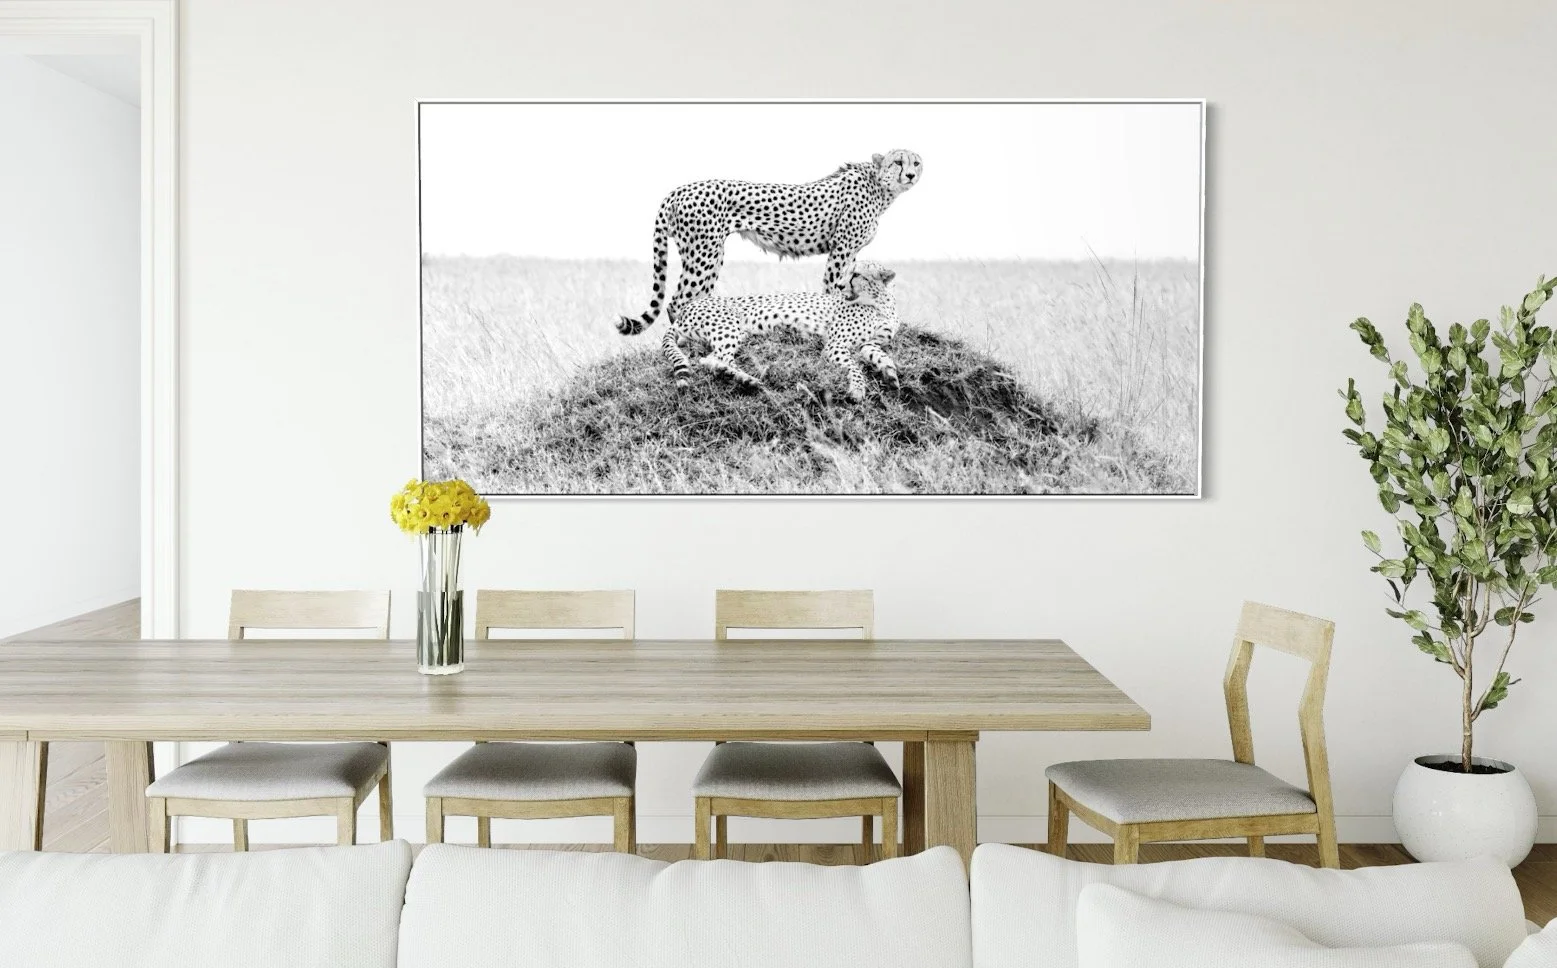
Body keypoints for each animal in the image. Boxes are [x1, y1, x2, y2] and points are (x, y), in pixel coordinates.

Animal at [614, 149, 922, 337]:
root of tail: (679, 189)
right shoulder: (842, 248)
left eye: (916, 162)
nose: (910, 175)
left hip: (707, 254)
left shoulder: (851, 251)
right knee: (678, 301)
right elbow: (833, 286)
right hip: (705, 253)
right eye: (898, 162)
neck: (879, 185)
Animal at [642, 261, 904, 403]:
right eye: (848, 272)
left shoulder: (870, 343)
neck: (880, 302)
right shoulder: (835, 345)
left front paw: (890, 373)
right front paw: (857, 390)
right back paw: (747, 379)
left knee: (711, 359)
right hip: (730, 326)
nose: (839, 286)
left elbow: (880, 355)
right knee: (714, 358)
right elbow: (856, 368)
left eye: (856, 274)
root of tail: (685, 309)